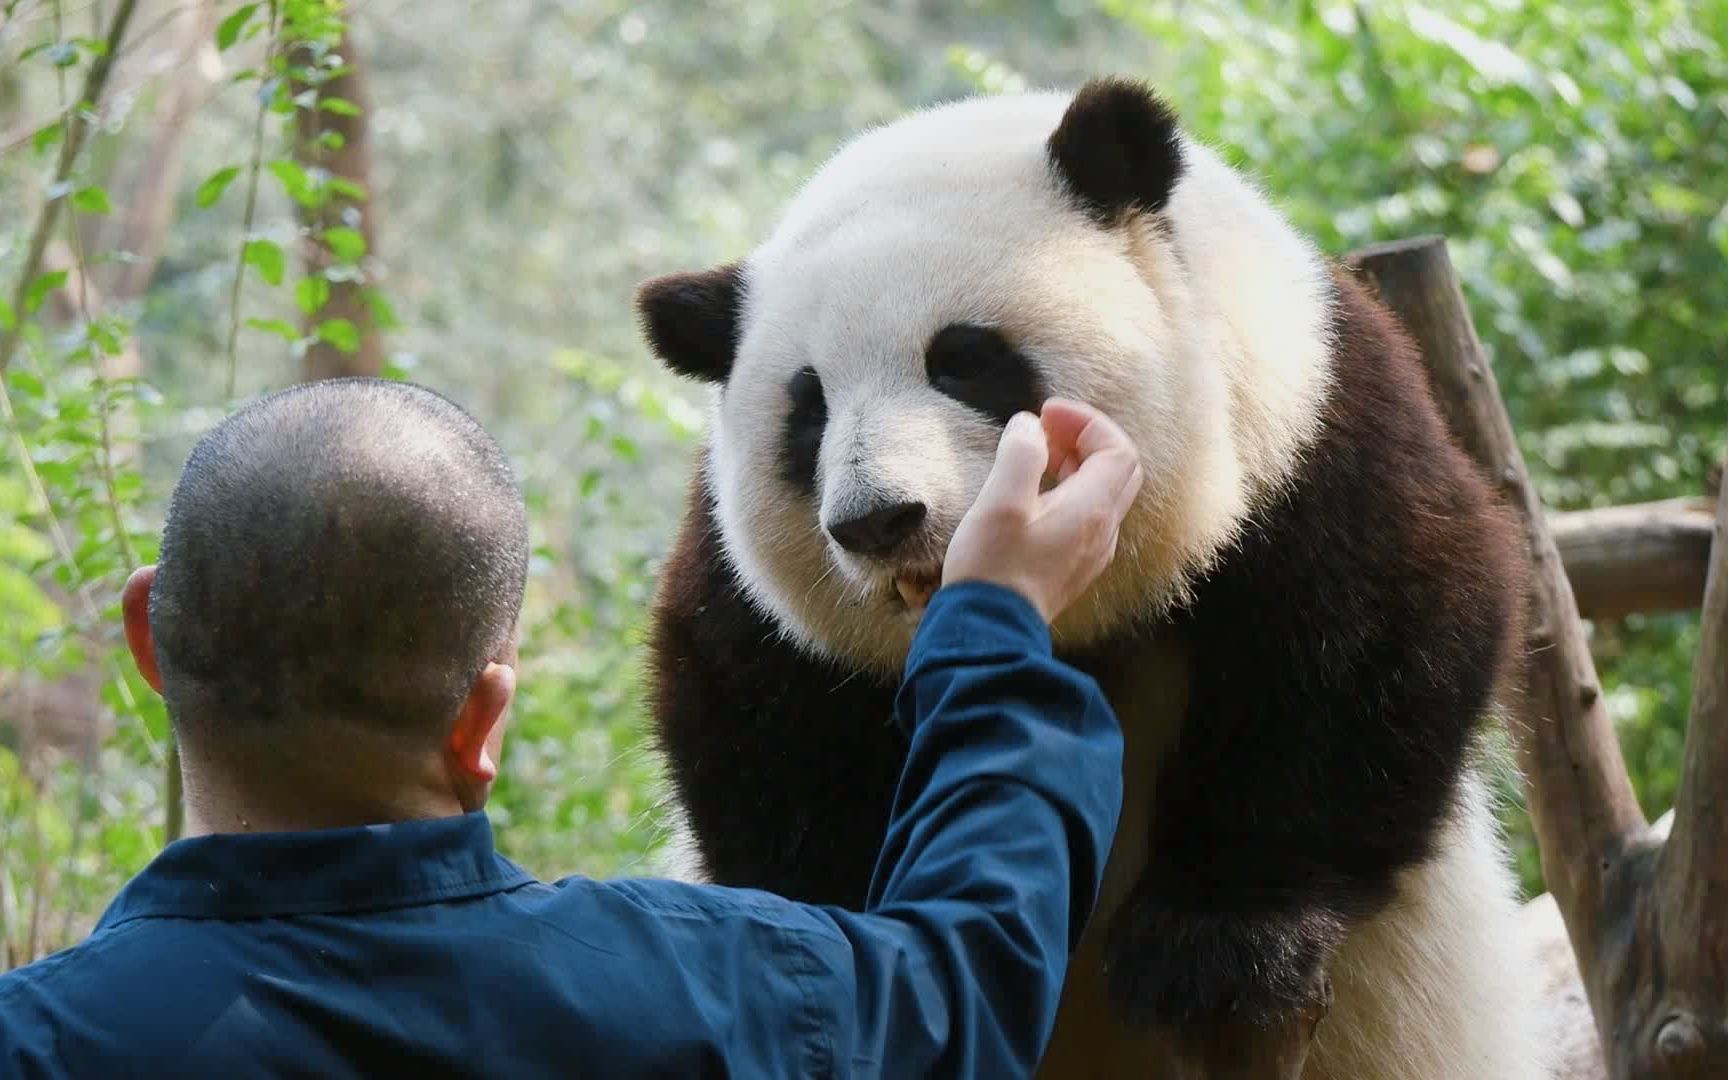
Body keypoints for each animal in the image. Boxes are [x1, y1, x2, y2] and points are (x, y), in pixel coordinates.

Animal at [635, 77, 1555, 1078]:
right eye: (807, 411)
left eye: (963, 359)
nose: (877, 520)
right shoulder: (754, 604)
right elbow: (765, 743)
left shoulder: (1307, 431)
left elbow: (1367, 640)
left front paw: (1217, 940)